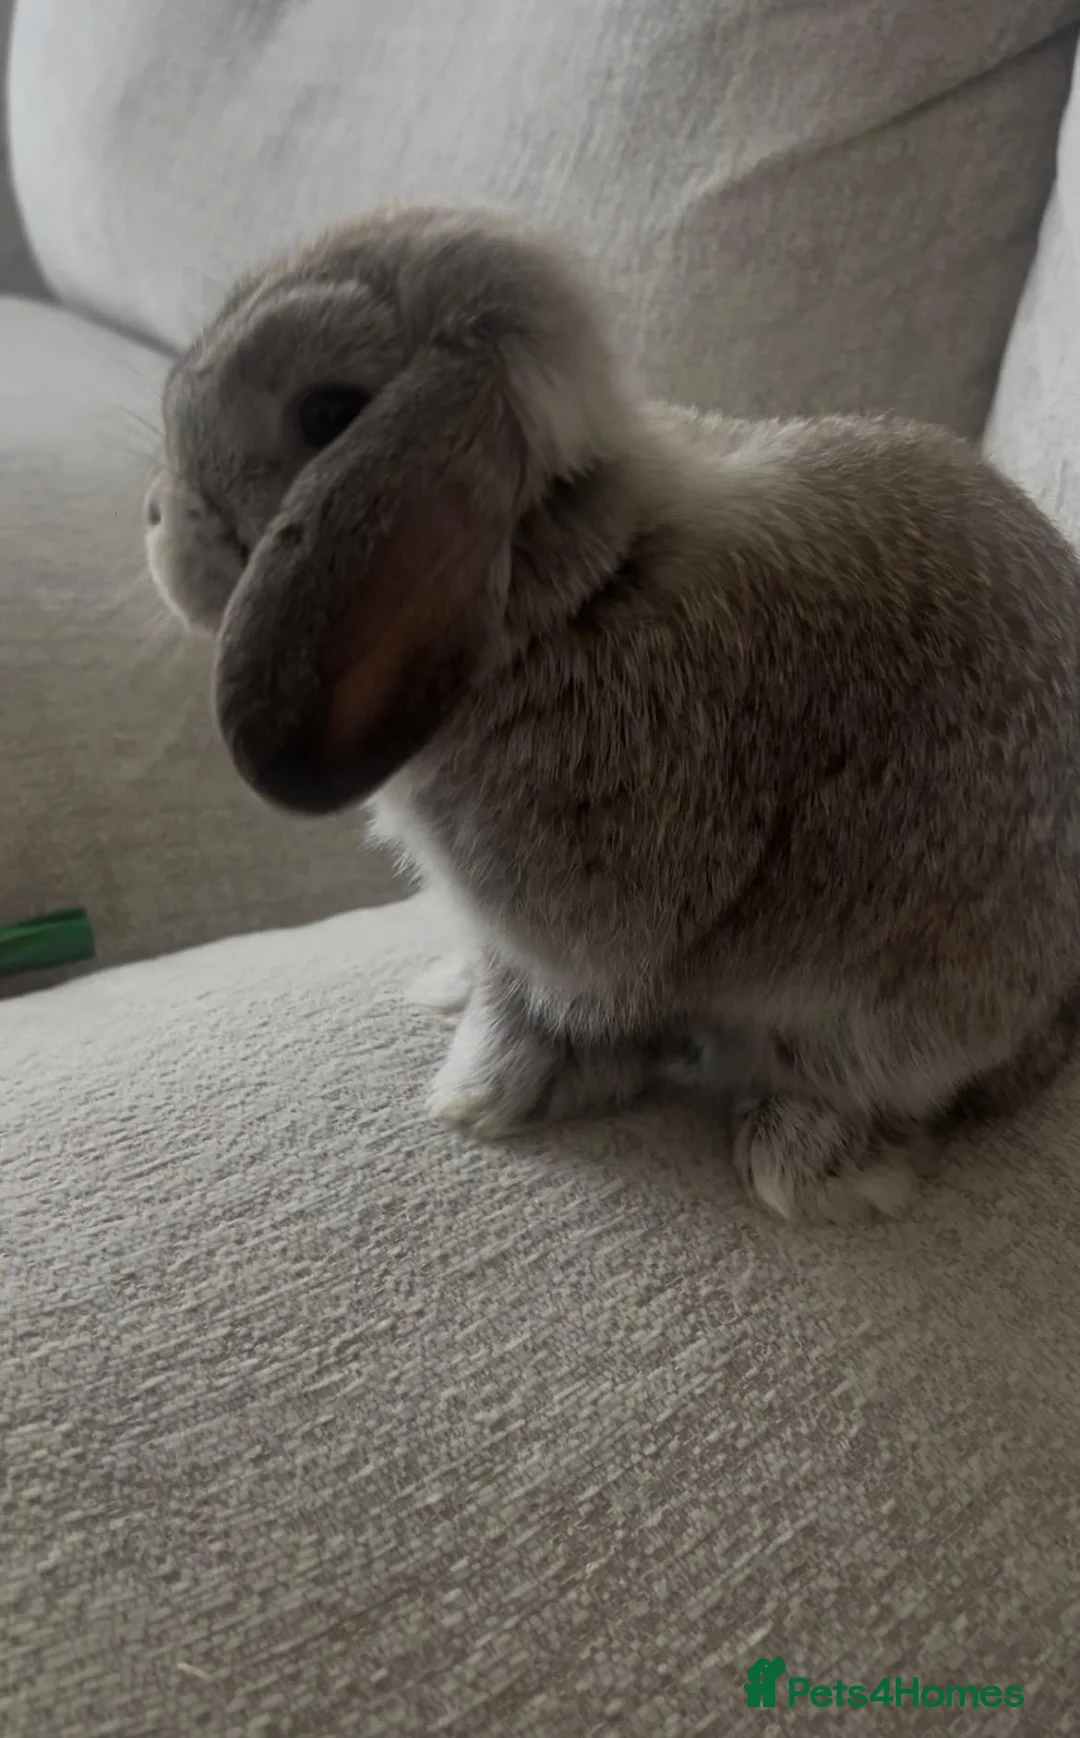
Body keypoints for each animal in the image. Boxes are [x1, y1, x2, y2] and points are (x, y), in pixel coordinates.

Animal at [146, 205, 1080, 1224]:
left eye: (326, 415)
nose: (156, 516)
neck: (569, 590)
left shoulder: (575, 941)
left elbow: (538, 1014)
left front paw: (476, 1100)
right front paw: (446, 997)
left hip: (881, 1001)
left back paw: (804, 1165)